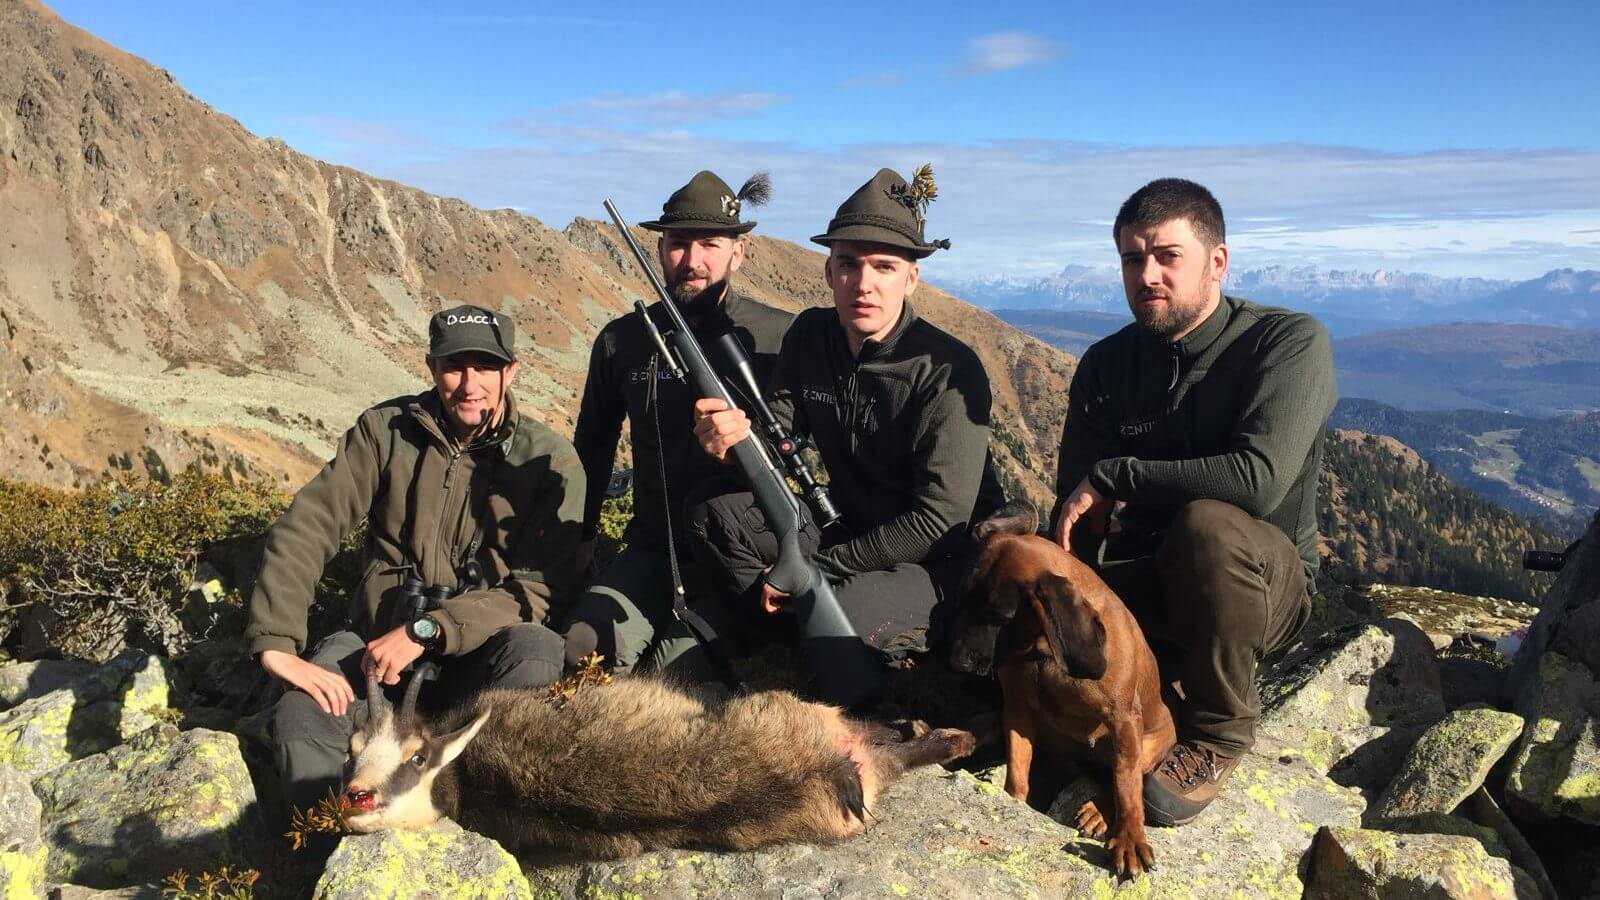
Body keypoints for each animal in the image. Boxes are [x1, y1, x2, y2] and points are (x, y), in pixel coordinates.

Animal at [947, 493, 1177, 871]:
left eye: (1000, 616)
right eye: (961, 597)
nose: (956, 660)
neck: (1044, 654)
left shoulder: (1124, 721)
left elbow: (1126, 785)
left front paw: (1130, 838)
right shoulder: (1017, 710)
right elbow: (1017, 771)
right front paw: (1011, 799)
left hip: (1151, 743)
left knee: (1123, 778)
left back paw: (1098, 810)